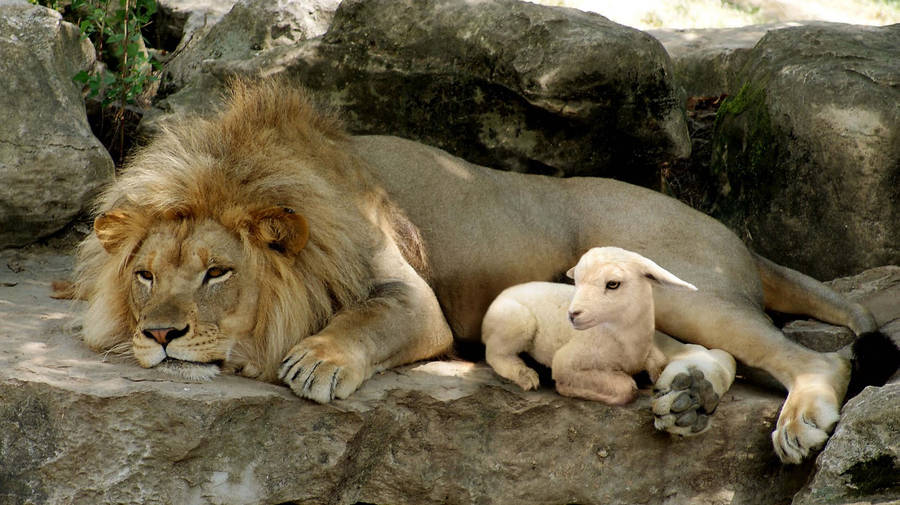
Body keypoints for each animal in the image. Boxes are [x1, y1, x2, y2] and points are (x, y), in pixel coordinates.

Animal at [482, 247, 698, 405]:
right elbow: (627, 388)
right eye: (575, 282)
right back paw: (525, 376)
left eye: (613, 284)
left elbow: (660, 364)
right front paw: (568, 389)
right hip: (518, 322)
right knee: (494, 354)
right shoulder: (564, 361)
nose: (572, 314)